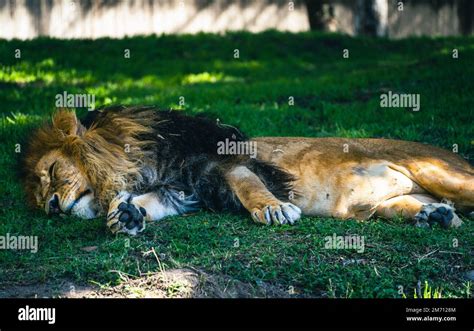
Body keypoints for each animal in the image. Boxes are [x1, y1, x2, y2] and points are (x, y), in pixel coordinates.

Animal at [22, 106, 474, 236]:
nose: (52, 207)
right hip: (383, 204)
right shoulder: (182, 190)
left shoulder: (224, 162)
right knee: (421, 208)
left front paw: (274, 210)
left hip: (441, 173)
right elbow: (151, 204)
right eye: (38, 196)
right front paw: (125, 217)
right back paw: (435, 216)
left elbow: (249, 187)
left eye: (52, 172)